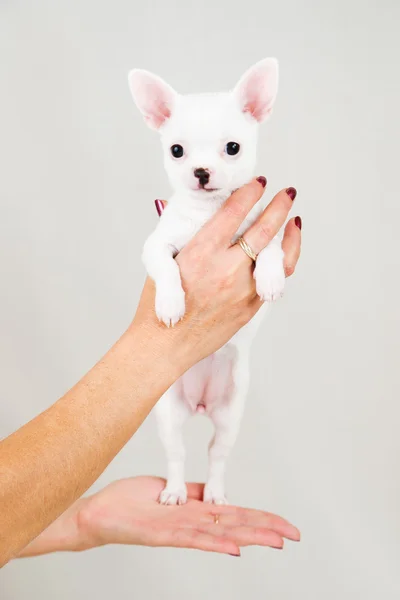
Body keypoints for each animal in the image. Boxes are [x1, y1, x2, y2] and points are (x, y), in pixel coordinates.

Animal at [128, 58, 284, 504]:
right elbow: (166, 267)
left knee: (216, 455)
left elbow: (269, 249)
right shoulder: (157, 245)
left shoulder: (261, 230)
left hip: (230, 414)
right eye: (176, 151)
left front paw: (269, 279)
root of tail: (199, 405)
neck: (209, 214)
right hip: (168, 413)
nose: (200, 171)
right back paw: (176, 492)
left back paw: (213, 492)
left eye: (232, 148)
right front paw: (170, 304)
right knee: (178, 454)